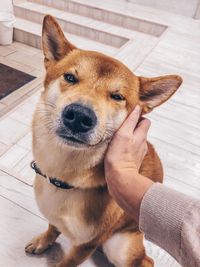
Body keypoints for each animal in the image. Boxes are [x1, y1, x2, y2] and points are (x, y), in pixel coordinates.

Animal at [25, 15, 183, 267]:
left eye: (117, 96)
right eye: (69, 77)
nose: (79, 116)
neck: (64, 178)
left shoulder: (86, 245)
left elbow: (67, 262)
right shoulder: (55, 217)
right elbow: (52, 227)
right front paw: (44, 240)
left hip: (119, 246)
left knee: (146, 260)